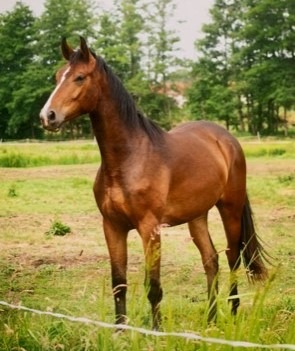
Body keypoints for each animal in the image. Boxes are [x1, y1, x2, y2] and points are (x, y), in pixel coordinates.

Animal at [39, 37, 268, 330]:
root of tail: (226, 139)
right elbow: (119, 283)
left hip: (230, 209)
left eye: (79, 77)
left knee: (232, 257)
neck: (129, 158)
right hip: (197, 216)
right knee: (211, 260)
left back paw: (234, 314)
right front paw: (120, 331)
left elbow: (154, 286)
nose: (48, 116)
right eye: (58, 76)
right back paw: (211, 319)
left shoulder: (149, 229)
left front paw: (156, 330)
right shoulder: (112, 226)